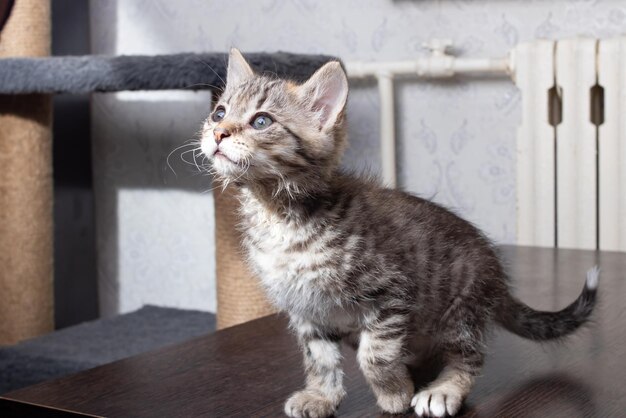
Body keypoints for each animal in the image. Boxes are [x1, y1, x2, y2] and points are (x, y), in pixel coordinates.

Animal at [202, 49, 596, 418]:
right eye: (219, 113)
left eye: (261, 121)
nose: (218, 133)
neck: (277, 216)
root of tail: (498, 279)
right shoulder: (307, 310)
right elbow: (320, 359)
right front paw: (322, 397)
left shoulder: (390, 291)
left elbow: (374, 354)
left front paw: (394, 393)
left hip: (460, 310)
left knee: (468, 355)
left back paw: (443, 390)